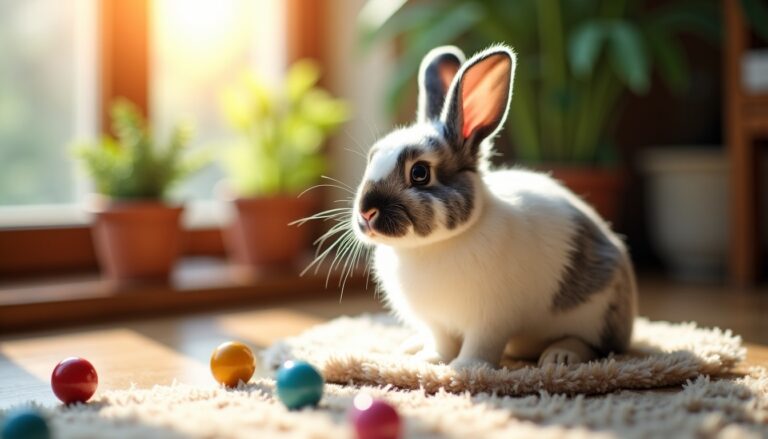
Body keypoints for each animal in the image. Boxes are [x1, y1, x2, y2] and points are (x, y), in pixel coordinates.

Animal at [344, 44, 638, 370]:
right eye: (372, 158)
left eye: (419, 173)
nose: (366, 213)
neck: (428, 247)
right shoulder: (437, 323)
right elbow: (441, 343)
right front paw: (431, 360)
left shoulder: (491, 320)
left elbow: (480, 345)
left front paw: (465, 368)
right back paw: (411, 347)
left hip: (595, 314)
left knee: (593, 345)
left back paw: (560, 356)